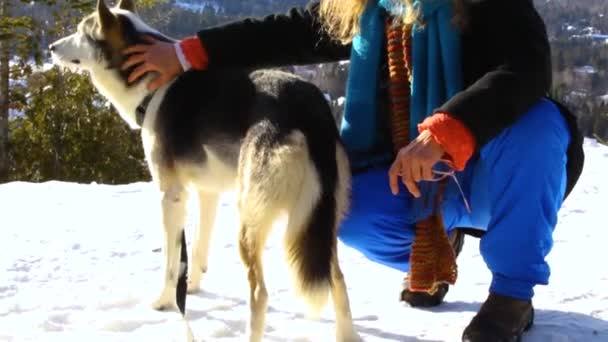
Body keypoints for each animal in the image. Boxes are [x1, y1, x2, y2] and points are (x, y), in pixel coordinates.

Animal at [51, 0, 360, 340]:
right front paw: (192, 288)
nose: (51, 48)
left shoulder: (170, 195)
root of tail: (310, 110)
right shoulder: (207, 191)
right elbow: (198, 248)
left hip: (250, 220)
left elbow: (172, 262)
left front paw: (165, 301)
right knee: (338, 281)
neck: (152, 85)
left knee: (260, 293)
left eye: (81, 31)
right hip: (318, 222)